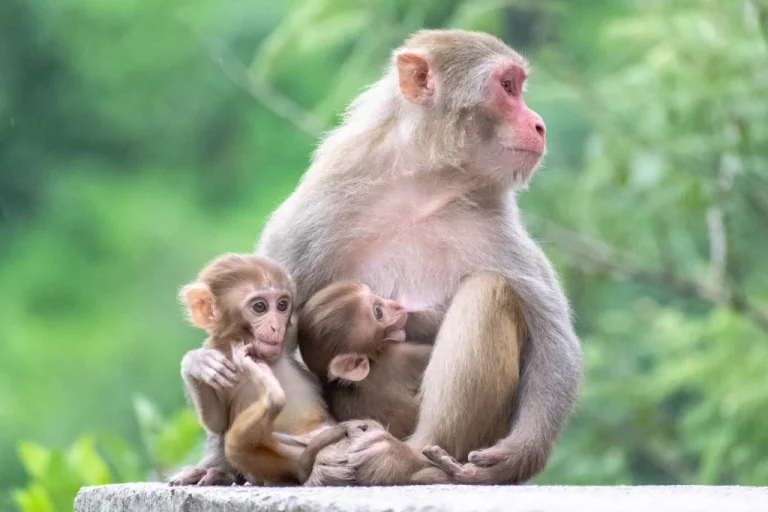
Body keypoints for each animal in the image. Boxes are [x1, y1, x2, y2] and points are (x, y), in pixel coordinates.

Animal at [167, 253, 332, 486]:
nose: (276, 327)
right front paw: (196, 362)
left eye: (282, 305)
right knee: (238, 446)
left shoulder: (288, 336)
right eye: (260, 307)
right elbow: (217, 422)